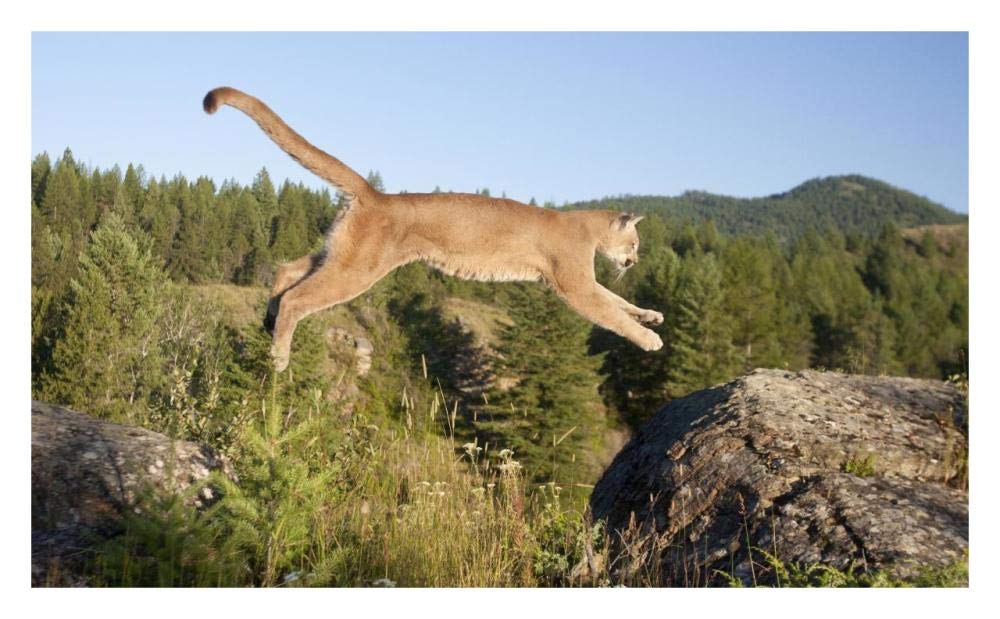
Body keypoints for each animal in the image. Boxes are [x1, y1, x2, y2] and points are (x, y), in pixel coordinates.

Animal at [203, 87, 664, 372]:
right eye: (635, 242)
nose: (634, 260)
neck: (587, 226)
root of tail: (375, 195)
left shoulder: (582, 281)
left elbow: (618, 300)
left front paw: (651, 314)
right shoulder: (574, 284)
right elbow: (609, 310)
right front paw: (648, 339)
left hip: (339, 252)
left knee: (287, 271)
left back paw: (268, 321)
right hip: (359, 267)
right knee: (298, 298)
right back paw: (279, 356)